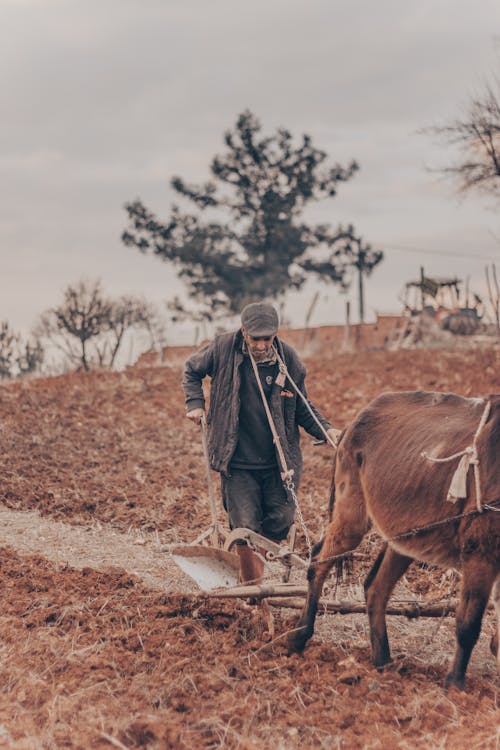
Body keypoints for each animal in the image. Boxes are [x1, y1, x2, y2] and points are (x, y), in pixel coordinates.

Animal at [290, 390, 500, 692]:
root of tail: (357, 419)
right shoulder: (480, 552)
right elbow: (468, 623)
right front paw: (455, 686)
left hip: (406, 536)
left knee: (375, 588)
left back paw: (383, 661)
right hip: (351, 515)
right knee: (319, 562)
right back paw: (299, 636)